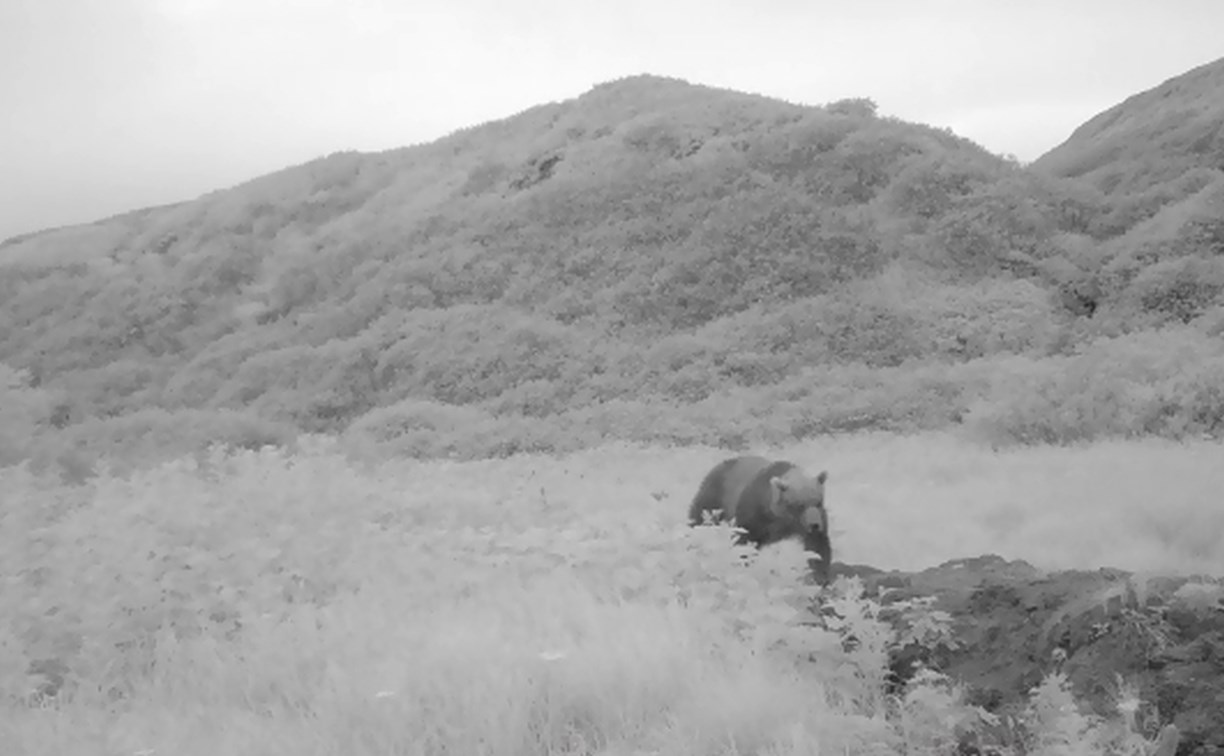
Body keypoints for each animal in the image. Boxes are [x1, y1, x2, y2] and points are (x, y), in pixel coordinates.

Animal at [690, 452, 832, 582]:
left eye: (818, 501)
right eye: (799, 505)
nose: (814, 525)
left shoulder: (809, 520)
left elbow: (817, 546)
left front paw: (821, 576)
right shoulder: (755, 514)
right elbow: (745, 540)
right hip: (714, 499)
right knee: (698, 520)